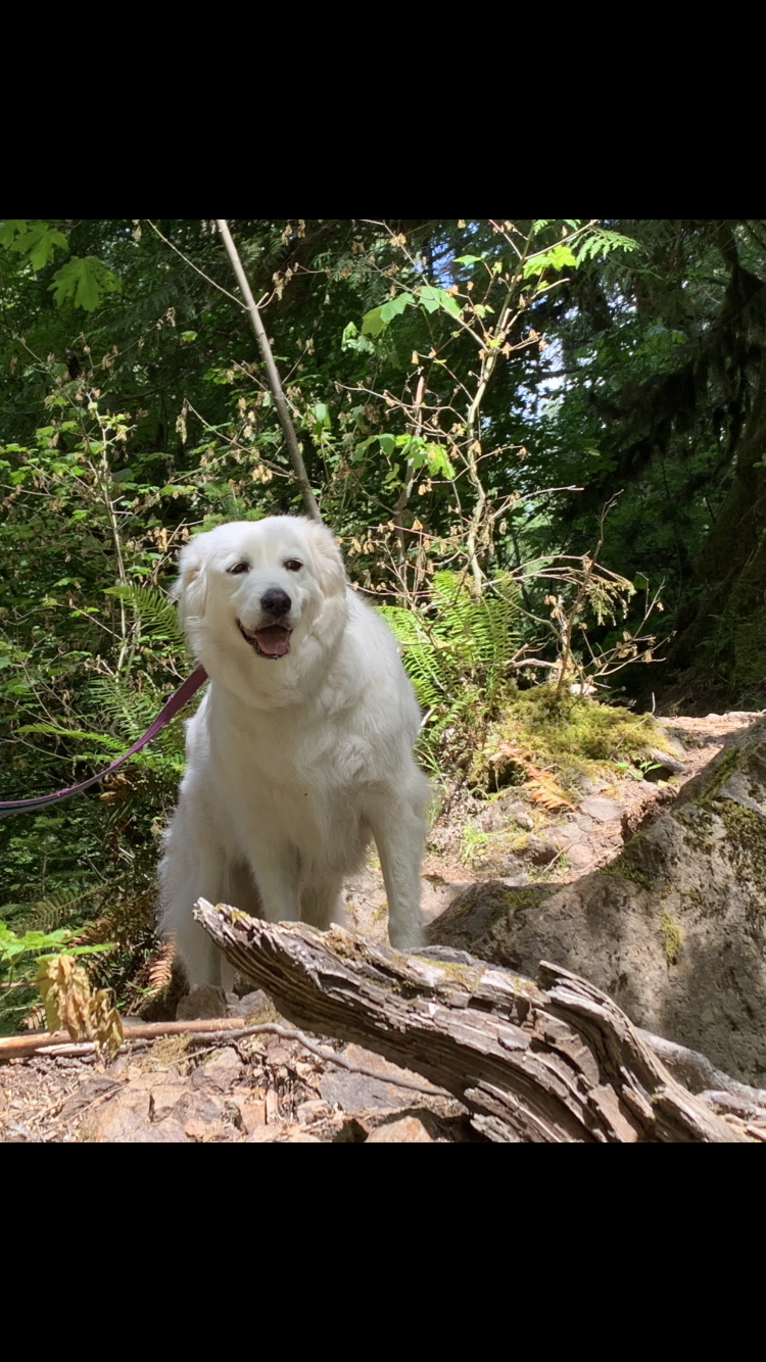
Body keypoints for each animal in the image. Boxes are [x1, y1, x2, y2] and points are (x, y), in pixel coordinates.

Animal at [158, 514, 430, 986]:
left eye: (293, 565)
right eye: (239, 568)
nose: (276, 601)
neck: (294, 691)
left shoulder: (391, 804)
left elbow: (400, 901)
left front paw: (410, 960)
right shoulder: (268, 832)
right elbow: (282, 914)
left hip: (322, 877)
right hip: (211, 866)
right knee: (205, 950)